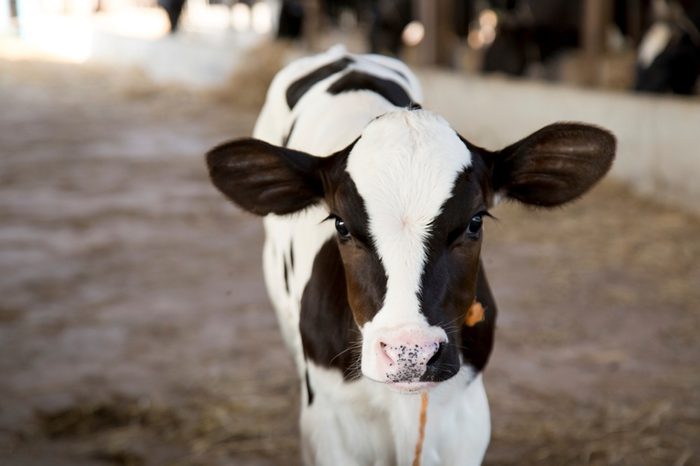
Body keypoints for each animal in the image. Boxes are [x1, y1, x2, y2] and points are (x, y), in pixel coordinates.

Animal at [205, 47, 616, 466]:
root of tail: (344, 54)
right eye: (341, 225)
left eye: (474, 221)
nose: (410, 353)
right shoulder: (330, 425)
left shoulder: (467, 419)